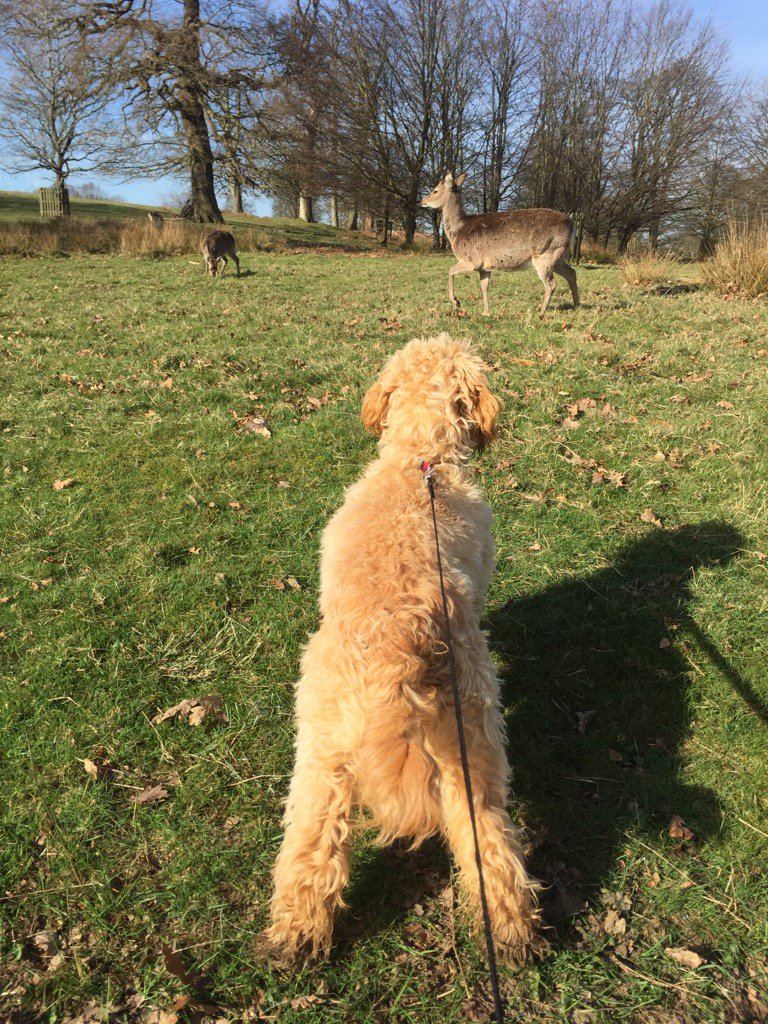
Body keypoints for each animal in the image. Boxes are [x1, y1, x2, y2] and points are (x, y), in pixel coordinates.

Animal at [421, 172, 579, 319]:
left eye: (435, 190)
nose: (422, 201)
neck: (457, 232)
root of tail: (572, 225)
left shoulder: (472, 260)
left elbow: (450, 271)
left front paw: (456, 302)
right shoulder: (484, 267)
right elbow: (484, 286)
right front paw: (486, 312)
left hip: (545, 254)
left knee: (551, 284)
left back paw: (541, 313)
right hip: (558, 256)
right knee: (571, 273)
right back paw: (577, 305)